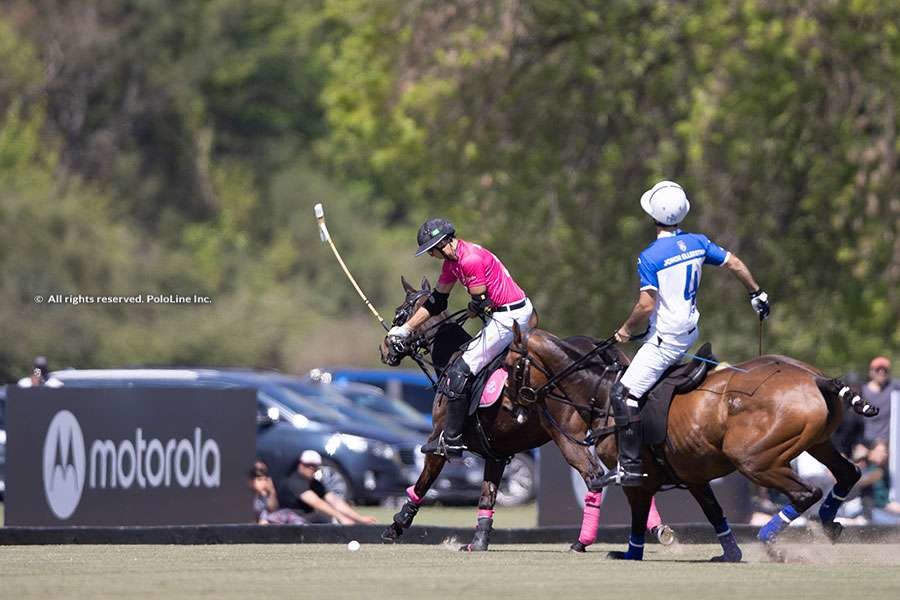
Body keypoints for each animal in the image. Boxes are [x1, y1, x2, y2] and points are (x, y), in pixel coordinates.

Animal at [376, 278, 672, 552]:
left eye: (400, 313)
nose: (385, 348)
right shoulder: (497, 453)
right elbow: (487, 496)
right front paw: (478, 542)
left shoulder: (437, 442)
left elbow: (422, 484)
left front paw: (395, 527)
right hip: (608, 434)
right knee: (628, 472)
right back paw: (658, 529)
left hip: (569, 436)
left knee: (594, 476)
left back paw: (582, 541)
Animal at [506, 324, 880, 564]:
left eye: (510, 363)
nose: (509, 403)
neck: (603, 393)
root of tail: (816, 378)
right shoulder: (694, 477)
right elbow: (714, 513)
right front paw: (730, 554)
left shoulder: (637, 479)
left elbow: (638, 517)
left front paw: (630, 553)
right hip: (818, 442)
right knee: (849, 473)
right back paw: (829, 524)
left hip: (754, 459)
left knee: (806, 492)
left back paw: (770, 540)